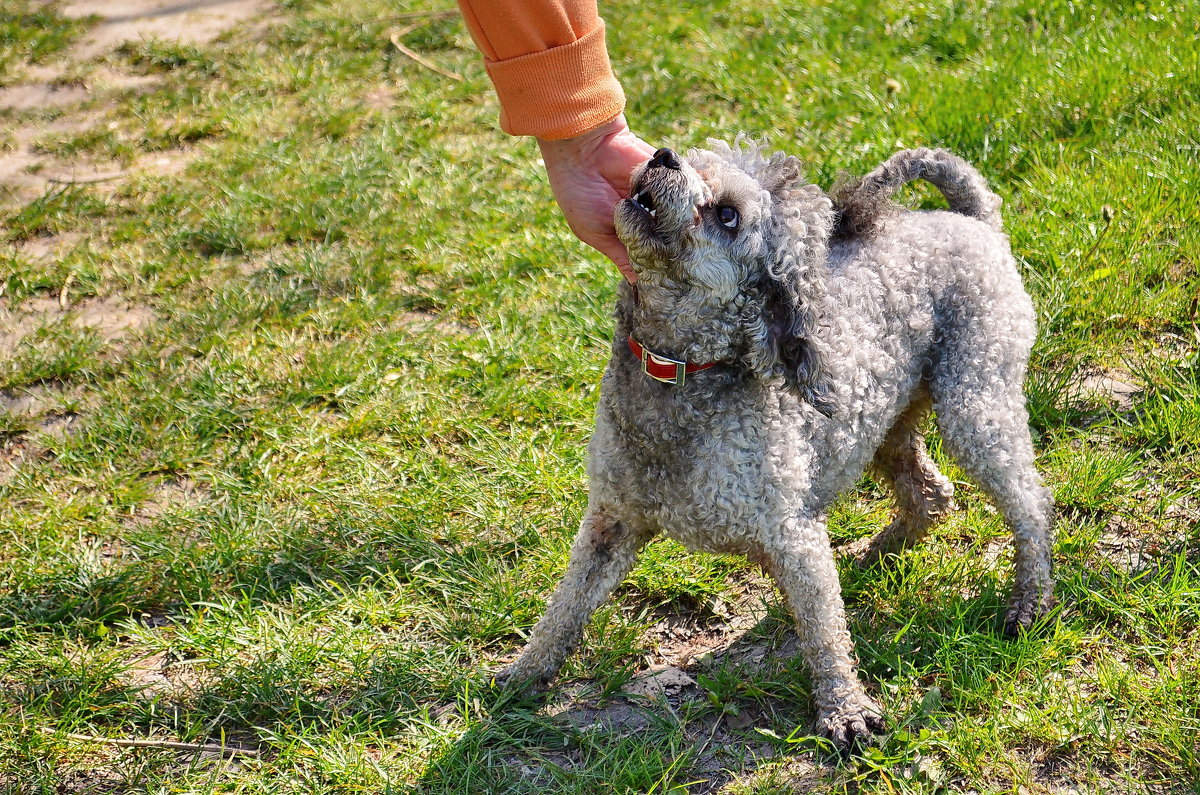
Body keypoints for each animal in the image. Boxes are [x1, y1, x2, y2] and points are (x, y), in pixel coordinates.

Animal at [501, 141, 1056, 754]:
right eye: (696, 160)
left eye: (727, 216)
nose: (664, 155)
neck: (681, 375)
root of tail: (973, 221)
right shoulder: (612, 517)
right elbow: (567, 603)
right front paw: (527, 672)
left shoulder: (791, 531)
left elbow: (824, 633)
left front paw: (845, 710)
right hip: (885, 424)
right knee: (932, 495)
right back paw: (874, 555)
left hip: (974, 400)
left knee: (1031, 502)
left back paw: (1029, 599)